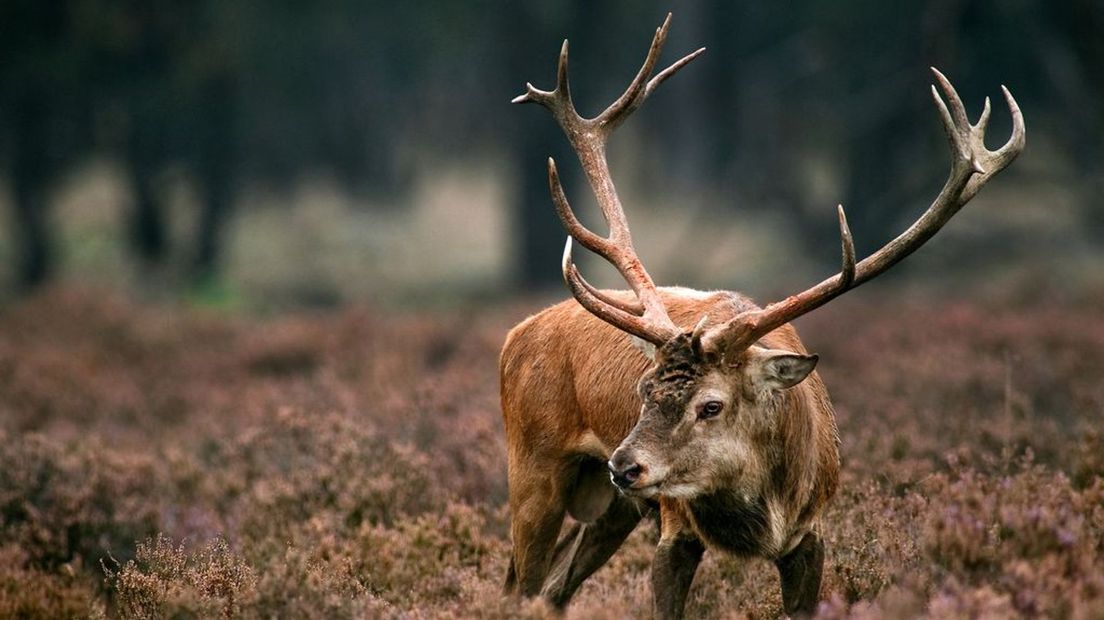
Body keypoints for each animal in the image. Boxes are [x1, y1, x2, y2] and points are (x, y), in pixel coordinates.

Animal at [501, 12, 1024, 613]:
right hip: (536, 467)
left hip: (612, 506)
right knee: (520, 583)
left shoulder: (811, 532)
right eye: (644, 390)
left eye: (711, 405)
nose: (625, 465)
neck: (762, 514)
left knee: (553, 589)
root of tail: (514, 334)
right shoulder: (675, 525)